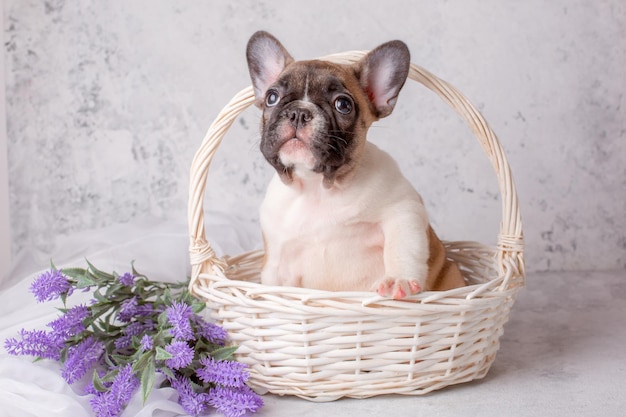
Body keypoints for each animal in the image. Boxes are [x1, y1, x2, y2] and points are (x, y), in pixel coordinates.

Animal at [245, 32, 464, 300]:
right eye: (271, 97)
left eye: (343, 105)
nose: (299, 113)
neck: (316, 188)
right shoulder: (277, 256)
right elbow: (275, 279)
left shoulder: (403, 209)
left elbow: (402, 245)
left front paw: (398, 279)